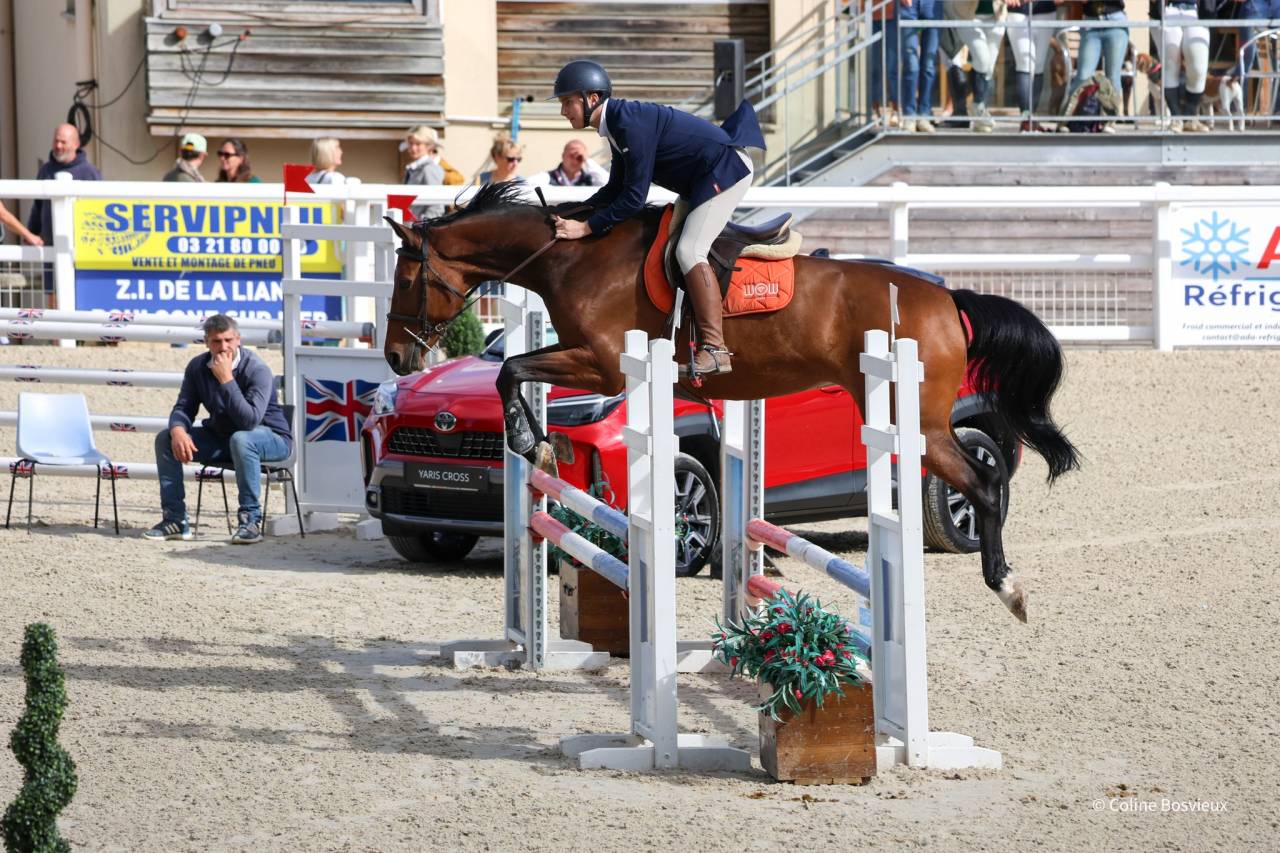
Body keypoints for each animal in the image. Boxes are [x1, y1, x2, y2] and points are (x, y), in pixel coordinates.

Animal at [382, 182, 1079, 623]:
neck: (574, 257)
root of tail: (948, 298)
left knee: (984, 482)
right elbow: (513, 369)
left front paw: (534, 445)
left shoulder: (604, 364)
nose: (394, 356)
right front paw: (538, 446)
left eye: (408, 277)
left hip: (920, 426)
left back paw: (1007, 585)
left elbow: (513, 371)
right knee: (987, 476)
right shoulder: (588, 359)